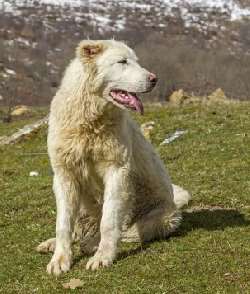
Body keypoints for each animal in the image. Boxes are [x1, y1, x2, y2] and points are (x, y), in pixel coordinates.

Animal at [36, 40, 189, 276]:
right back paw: (55, 243)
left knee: (124, 230)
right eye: (122, 62)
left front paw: (102, 257)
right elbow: (63, 224)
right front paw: (60, 259)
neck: (90, 120)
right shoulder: (64, 174)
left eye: (135, 60)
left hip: (163, 217)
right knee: (78, 229)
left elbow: (109, 222)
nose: (154, 79)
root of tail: (175, 201)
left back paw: (91, 244)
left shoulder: (117, 171)